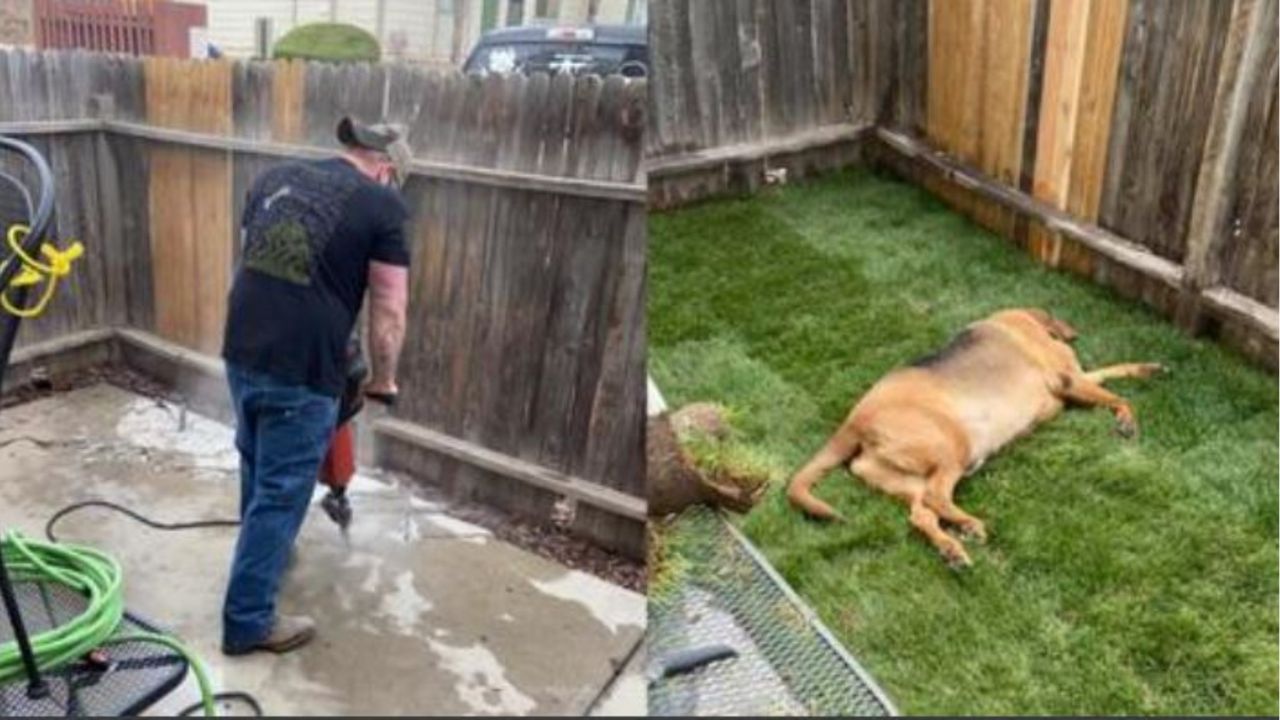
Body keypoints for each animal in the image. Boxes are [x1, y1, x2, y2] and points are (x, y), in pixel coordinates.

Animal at [783, 308, 1167, 566]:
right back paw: (969, 525)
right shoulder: (1070, 379)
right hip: (953, 446)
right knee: (937, 497)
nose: (1076, 332)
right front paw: (1127, 420)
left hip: (901, 477)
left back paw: (951, 548)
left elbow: (1116, 370)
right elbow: (1119, 396)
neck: (1019, 321)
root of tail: (853, 423)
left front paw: (1149, 368)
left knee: (921, 515)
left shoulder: (1080, 380)